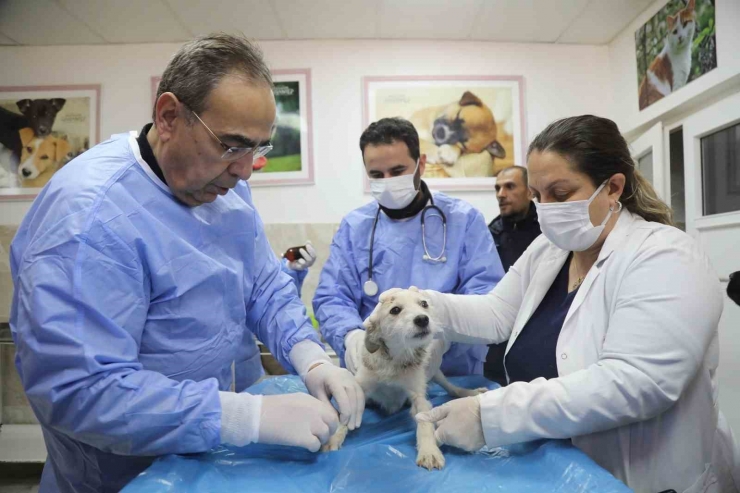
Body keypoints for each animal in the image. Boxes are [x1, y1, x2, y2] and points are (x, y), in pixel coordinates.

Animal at [322, 286, 486, 468]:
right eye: (395, 310)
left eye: (424, 304)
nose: (422, 319)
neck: (396, 358)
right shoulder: (359, 387)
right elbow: (346, 413)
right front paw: (333, 438)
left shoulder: (418, 396)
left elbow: (424, 423)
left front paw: (429, 450)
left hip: (435, 371)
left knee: (451, 387)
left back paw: (470, 392)